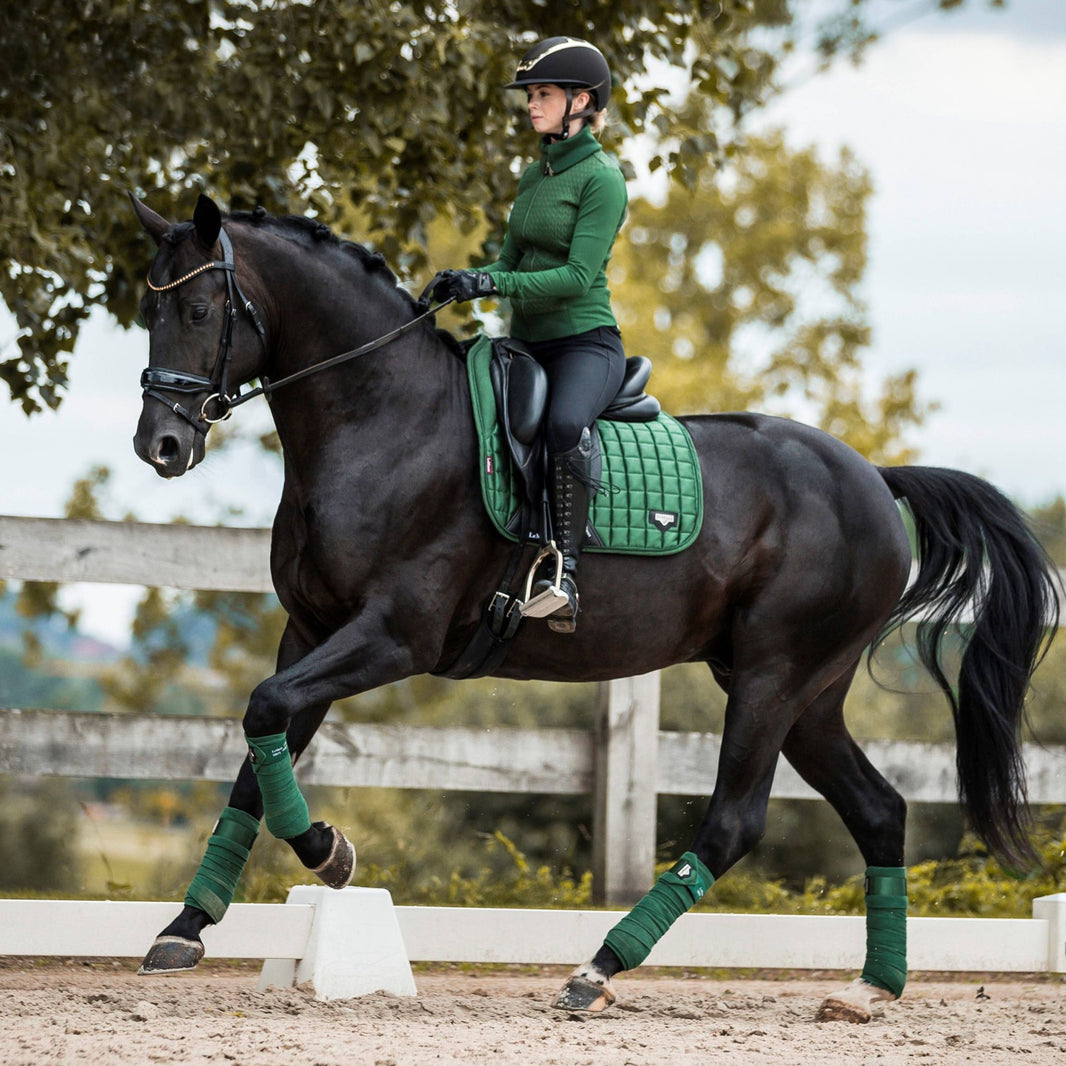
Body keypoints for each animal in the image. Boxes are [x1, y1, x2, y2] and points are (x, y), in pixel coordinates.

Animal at [128, 193, 1058, 1022]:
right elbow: (259, 752)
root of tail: (872, 476)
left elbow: (264, 713)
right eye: (147, 307)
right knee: (879, 811)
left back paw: (597, 970)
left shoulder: (392, 637)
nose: (160, 446)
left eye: (203, 308)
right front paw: (188, 927)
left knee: (734, 823)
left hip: (774, 677)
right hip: (807, 694)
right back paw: (869, 990)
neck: (382, 416)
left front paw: (330, 855)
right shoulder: (312, 630)